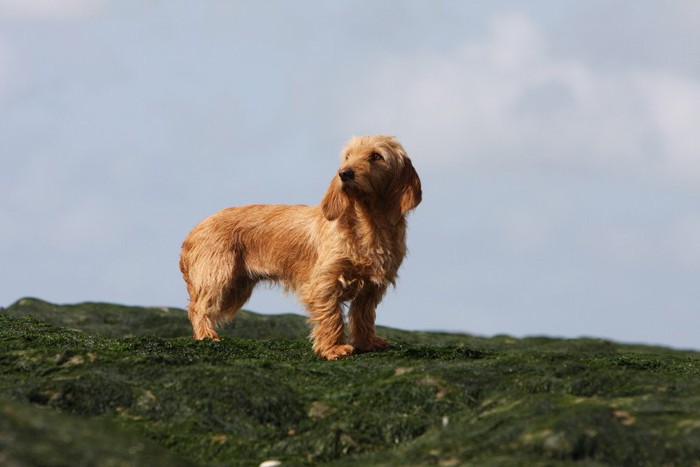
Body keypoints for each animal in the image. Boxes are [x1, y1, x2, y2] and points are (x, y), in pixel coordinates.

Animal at [180, 135, 422, 362]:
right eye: (347, 156)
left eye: (376, 156)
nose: (344, 173)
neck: (367, 226)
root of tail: (192, 232)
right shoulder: (324, 283)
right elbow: (331, 316)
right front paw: (333, 348)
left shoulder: (371, 289)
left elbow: (363, 316)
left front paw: (367, 342)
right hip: (219, 278)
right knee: (198, 307)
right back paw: (206, 335)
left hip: (237, 286)